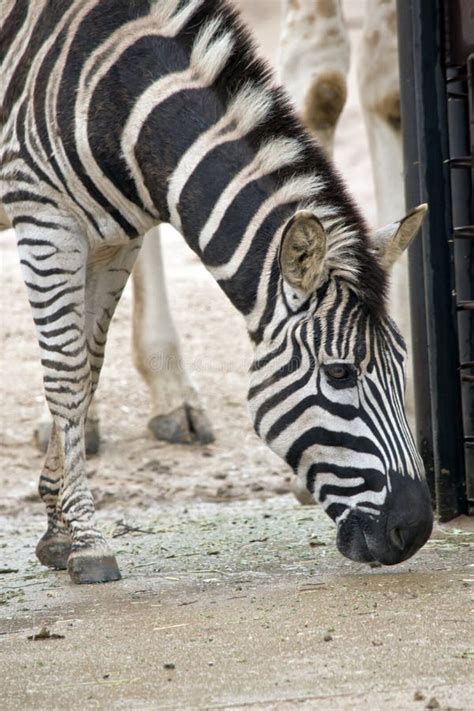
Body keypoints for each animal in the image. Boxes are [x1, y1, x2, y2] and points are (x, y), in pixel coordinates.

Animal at [0, 0, 434, 584]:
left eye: (401, 366)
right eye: (340, 373)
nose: (416, 530)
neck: (121, 94)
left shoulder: (116, 240)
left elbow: (87, 366)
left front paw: (58, 530)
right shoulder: (45, 217)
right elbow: (66, 377)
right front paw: (88, 540)